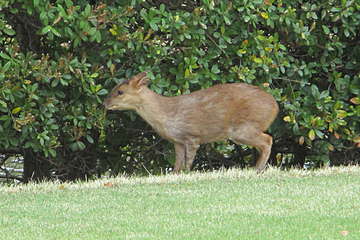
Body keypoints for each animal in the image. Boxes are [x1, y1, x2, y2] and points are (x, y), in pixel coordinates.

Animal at [103, 72, 278, 173]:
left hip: (243, 128)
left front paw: (187, 173)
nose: (104, 103)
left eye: (120, 92)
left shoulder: (192, 136)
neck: (166, 114)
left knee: (268, 140)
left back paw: (257, 169)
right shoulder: (177, 141)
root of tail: (275, 106)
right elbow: (178, 162)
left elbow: (188, 161)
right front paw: (175, 173)